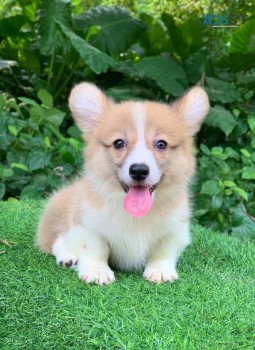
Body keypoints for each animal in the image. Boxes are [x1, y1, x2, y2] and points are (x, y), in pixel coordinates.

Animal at [35, 83, 208, 286]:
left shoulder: (174, 230)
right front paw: (97, 271)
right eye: (119, 143)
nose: (139, 170)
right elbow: (95, 249)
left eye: (161, 144)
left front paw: (160, 271)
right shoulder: (87, 224)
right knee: (57, 239)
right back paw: (67, 257)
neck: (135, 217)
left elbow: (163, 250)